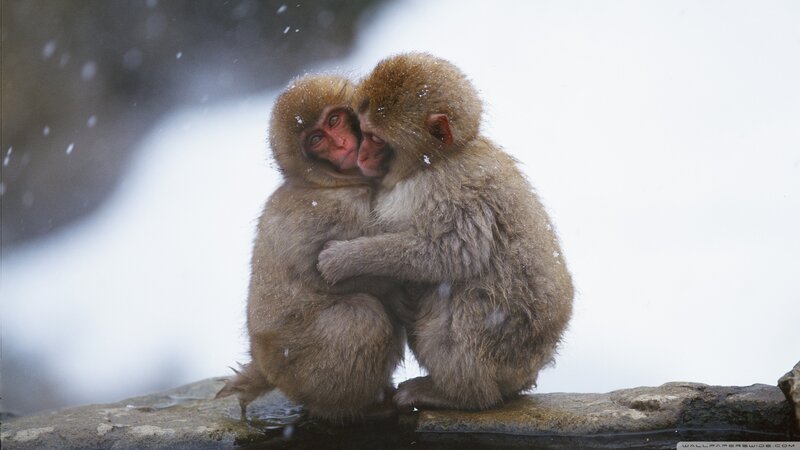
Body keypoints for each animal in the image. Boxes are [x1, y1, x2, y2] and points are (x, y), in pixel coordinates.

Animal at [216, 74, 405, 423]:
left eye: (334, 120)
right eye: (317, 139)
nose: (341, 144)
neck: (327, 182)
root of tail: (264, 366)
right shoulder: (337, 210)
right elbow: (342, 272)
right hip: (302, 367)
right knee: (363, 318)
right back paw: (359, 408)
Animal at [317, 53, 574, 411]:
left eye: (376, 139)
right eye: (361, 131)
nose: (361, 155)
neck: (434, 162)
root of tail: (529, 370)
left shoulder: (453, 190)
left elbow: (454, 253)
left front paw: (346, 259)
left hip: (499, 348)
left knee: (460, 301)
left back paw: (458, 394)